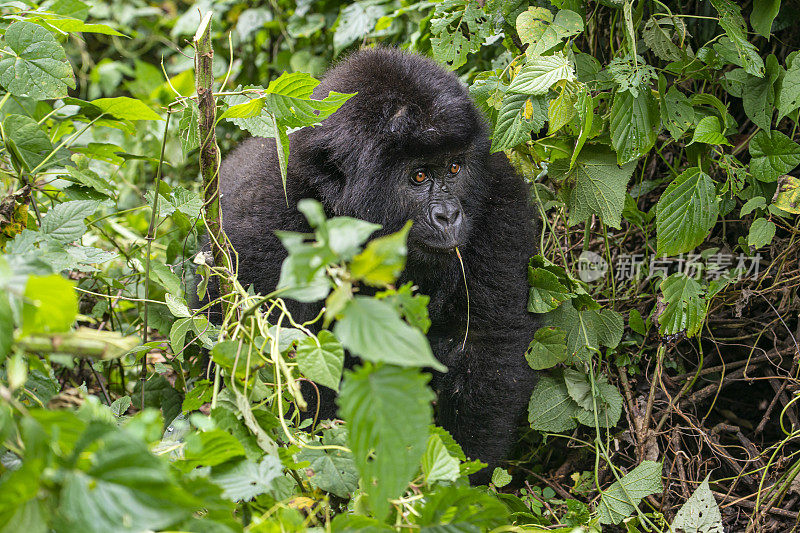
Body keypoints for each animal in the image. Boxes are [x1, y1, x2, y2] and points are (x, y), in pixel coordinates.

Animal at [222, 46, 540, 478]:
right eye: (419, 176)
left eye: (454, 168)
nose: (448, 216)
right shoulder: (261, 227)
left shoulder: (500, 198)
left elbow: (484, 345)